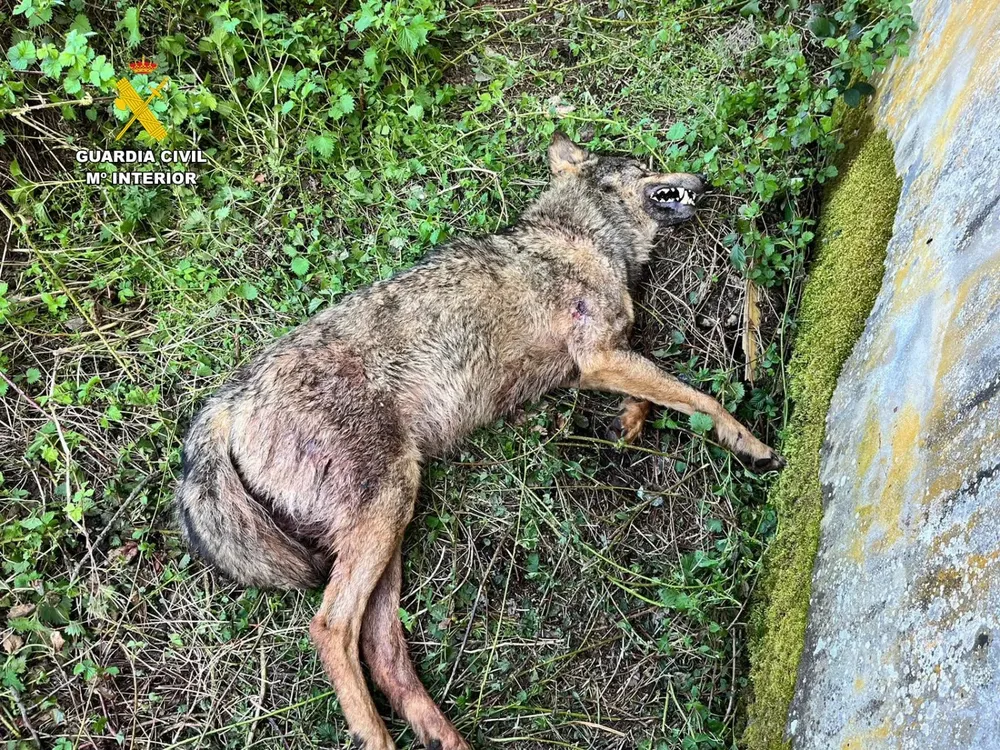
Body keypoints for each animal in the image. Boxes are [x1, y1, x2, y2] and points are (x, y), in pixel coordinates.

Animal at [175, 133, 785, 750]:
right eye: (644, 165)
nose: (704, 181)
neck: (584, 238)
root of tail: (231, 400)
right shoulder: (599, 356)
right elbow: (701, 399)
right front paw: (750, 443)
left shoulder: (596, 363)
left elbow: (660, 390)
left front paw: (628, 423)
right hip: (387, 509)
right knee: (330, 628)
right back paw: (377, 737)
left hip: (386, 533)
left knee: (384, 651)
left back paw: (444, 737)